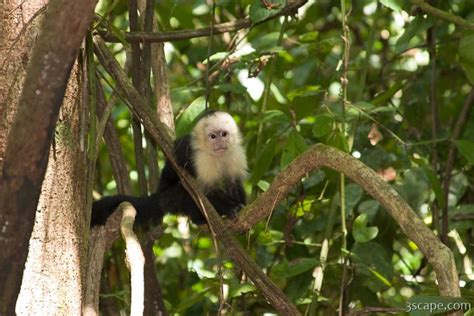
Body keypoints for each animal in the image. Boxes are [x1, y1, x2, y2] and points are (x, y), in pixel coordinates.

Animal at [91, 110, 248, 226]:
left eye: (224, 134)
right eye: (213, 136)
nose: (220, 143)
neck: (216, 156)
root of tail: (161, 195)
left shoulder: (236, 153)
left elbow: (233, 183)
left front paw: (241, 205)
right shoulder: (202, 160)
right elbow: (204, 194)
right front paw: (230, 208)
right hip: (172, 197)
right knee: (184, 191)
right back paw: (199, 220)